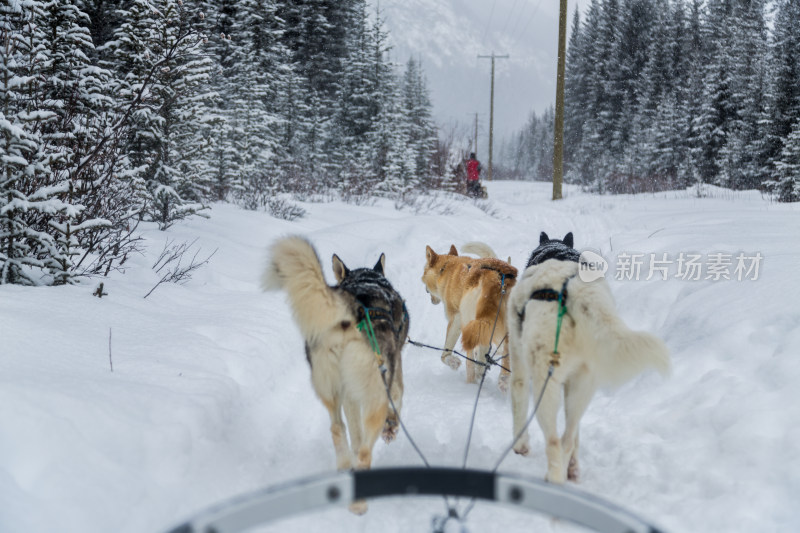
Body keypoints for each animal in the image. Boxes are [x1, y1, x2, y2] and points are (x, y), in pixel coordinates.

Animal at [266, 237, 410, 512]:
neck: (367, 280)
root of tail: (350, 311)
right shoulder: (394, 375)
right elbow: (398, 400)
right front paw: (392, 427)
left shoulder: (351, 396)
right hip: (375, 393)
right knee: (364, 451)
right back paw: (359, 503)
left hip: (330, 387)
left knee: (337, 428)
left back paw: (345, 467)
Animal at [418, 243, 520, 388]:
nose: (432, 299)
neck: (448, 268)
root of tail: (495, 281)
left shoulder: (455, 319)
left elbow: (445, 353)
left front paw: (453, 362)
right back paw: (503, 379)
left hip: (469, 323)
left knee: (471, 359)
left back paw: (472, 381)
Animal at [510, 232, 672, 482]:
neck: (555, 252)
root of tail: (575, 290)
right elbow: (576, 435)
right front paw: (573, 466)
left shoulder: (519, 368)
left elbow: (518, 408)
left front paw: (520, 446)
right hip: (582, 386)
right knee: (567, 439)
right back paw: (567, 471)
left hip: (544, 384)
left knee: (554, 441)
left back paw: (553, 477)